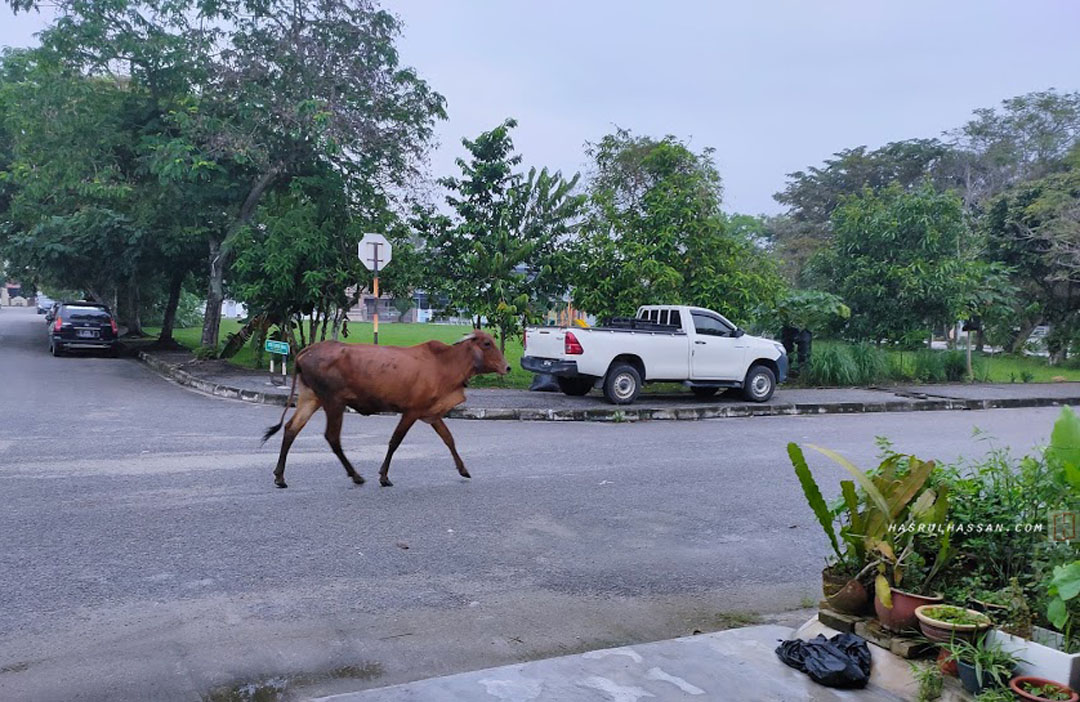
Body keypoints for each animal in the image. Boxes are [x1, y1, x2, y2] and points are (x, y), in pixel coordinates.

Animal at [263, 330, 511, 486]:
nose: (507, 367)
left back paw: (280, 476)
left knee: (291, 428)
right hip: (333, 401)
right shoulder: (412, 411)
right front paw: (383, 476)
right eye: (487, 343)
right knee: (332, 437)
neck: (446, 365)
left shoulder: (430, 413)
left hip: (311, 398)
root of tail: (306, 351)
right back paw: (355, 475)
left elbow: (449, 439)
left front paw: (463, 469)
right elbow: (395, 441)